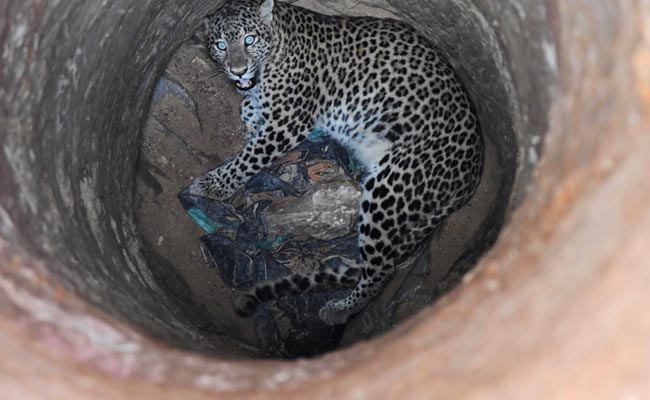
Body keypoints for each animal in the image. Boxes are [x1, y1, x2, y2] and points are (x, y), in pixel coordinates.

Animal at [189, 0, 484, 326]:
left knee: (380, 271)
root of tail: (472, 175)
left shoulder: (288, 123)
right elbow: (247, 109)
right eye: (220, 45)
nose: (236, 69)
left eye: (249, 40)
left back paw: (340, 309)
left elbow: (249, 158)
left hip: (389, 187)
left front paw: (212, 185)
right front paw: (251, 122)